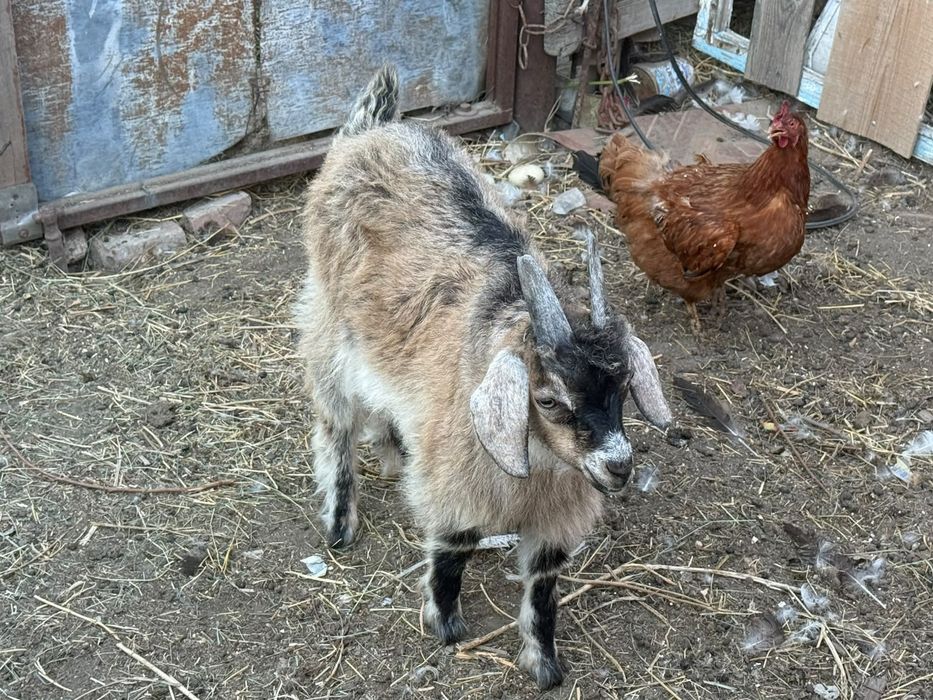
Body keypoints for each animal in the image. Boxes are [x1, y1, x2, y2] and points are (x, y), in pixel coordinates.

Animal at [294, 65, 673, 689]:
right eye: (547, 399)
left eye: (622, 389)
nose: (618, 467)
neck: (538, 468)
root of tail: (371, 131)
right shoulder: (457, 487)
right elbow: (453, 550)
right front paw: (445, 625)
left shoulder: (554, 519)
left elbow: (543, 591)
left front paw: (544, 664)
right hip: (328, 326)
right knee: (335, 424)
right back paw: (340, 521)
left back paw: (394, 453)